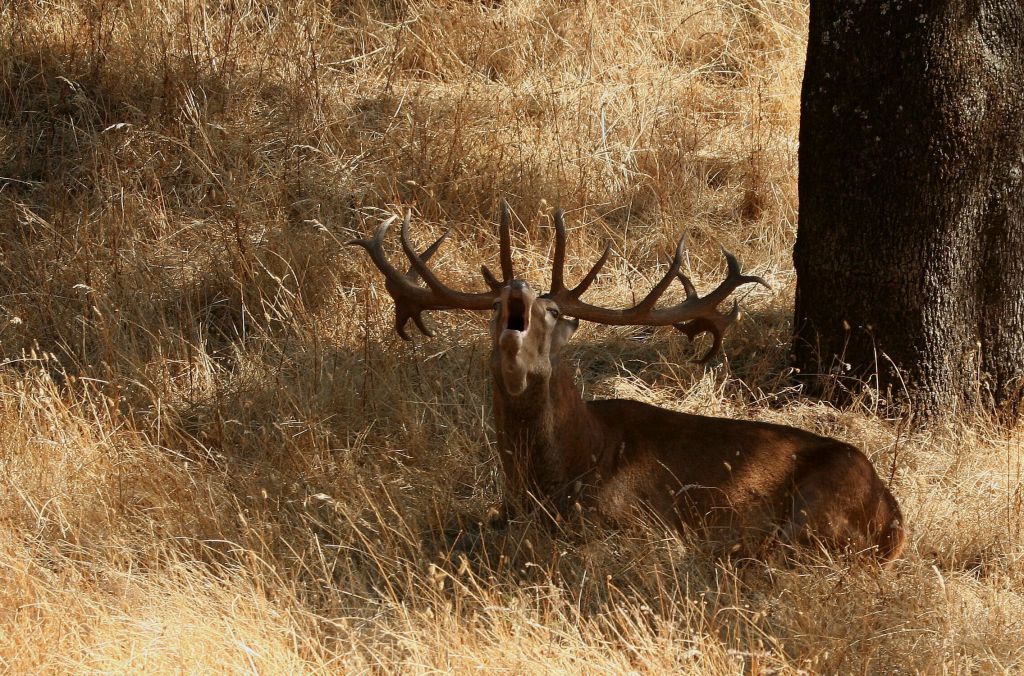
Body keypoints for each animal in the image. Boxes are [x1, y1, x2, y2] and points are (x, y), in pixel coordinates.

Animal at [350, 203, 905, 561]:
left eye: (554, 311)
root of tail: (891, 514)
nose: (519, 287)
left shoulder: (629, 517)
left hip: (818, 507)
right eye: (491, 307)